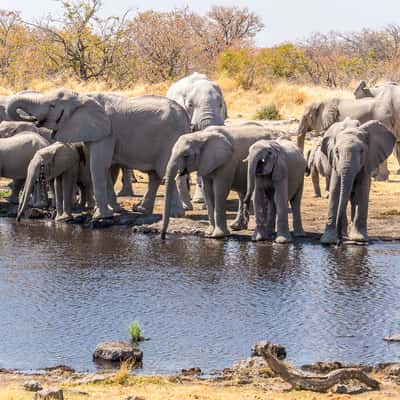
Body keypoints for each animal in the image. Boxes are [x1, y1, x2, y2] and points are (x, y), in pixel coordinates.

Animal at [7, 89, 191, 220]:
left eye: (52, 106)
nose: (34, 120)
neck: (82, 97)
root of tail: (187, 119)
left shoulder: (107, 132)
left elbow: (98, 164)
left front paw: (100, 216)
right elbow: (103, 166)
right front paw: (113, 210)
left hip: (172, 138)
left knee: (167, 171)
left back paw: (176, 214)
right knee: (155, 175)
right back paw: (141, 209)